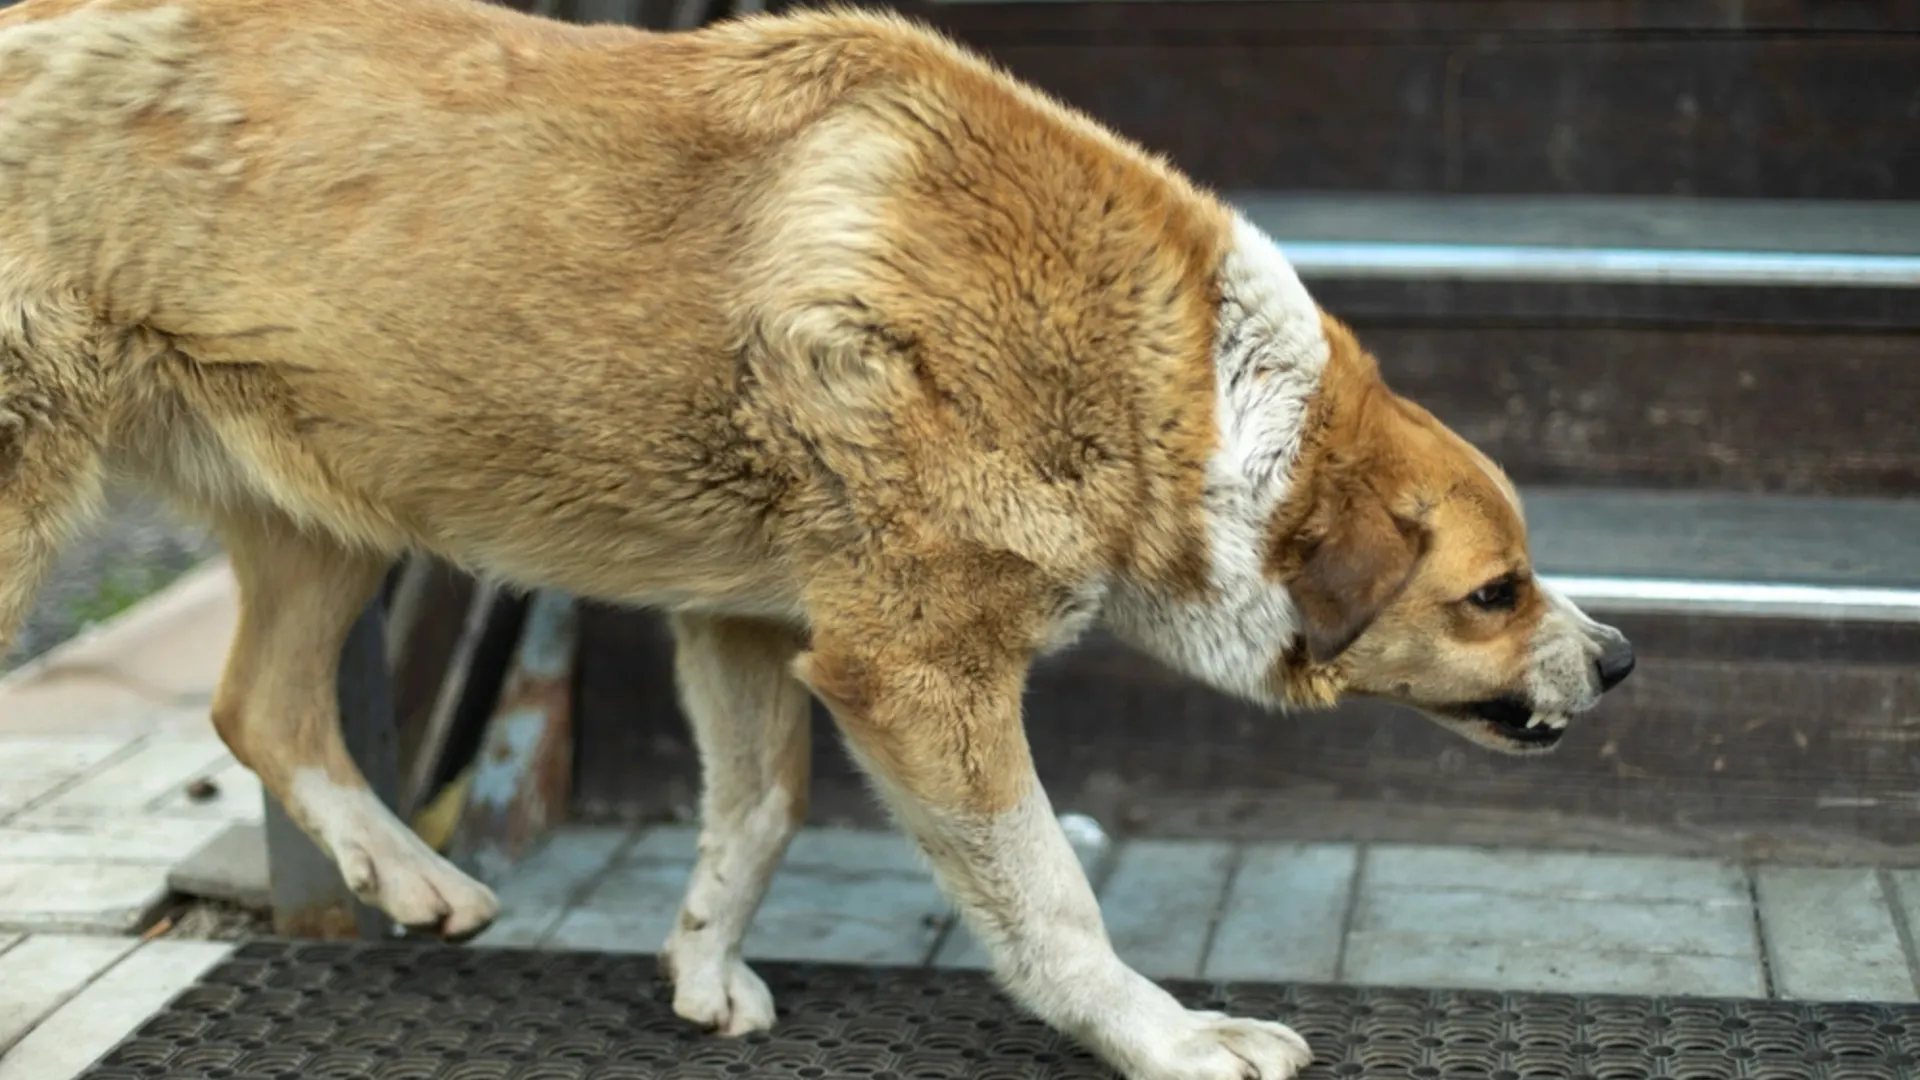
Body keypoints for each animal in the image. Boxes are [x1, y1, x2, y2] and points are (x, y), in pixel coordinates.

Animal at [0, 0, 1635, 1068]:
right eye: (1497, 592)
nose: (1620, 658)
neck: (1184, 389)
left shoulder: (755, 627)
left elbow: (762, 812)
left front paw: (703, 968)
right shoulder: (915, 672)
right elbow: (1048, 895)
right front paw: (1169, 1038)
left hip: (339, 505)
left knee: (259, 706)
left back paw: (412, 877)